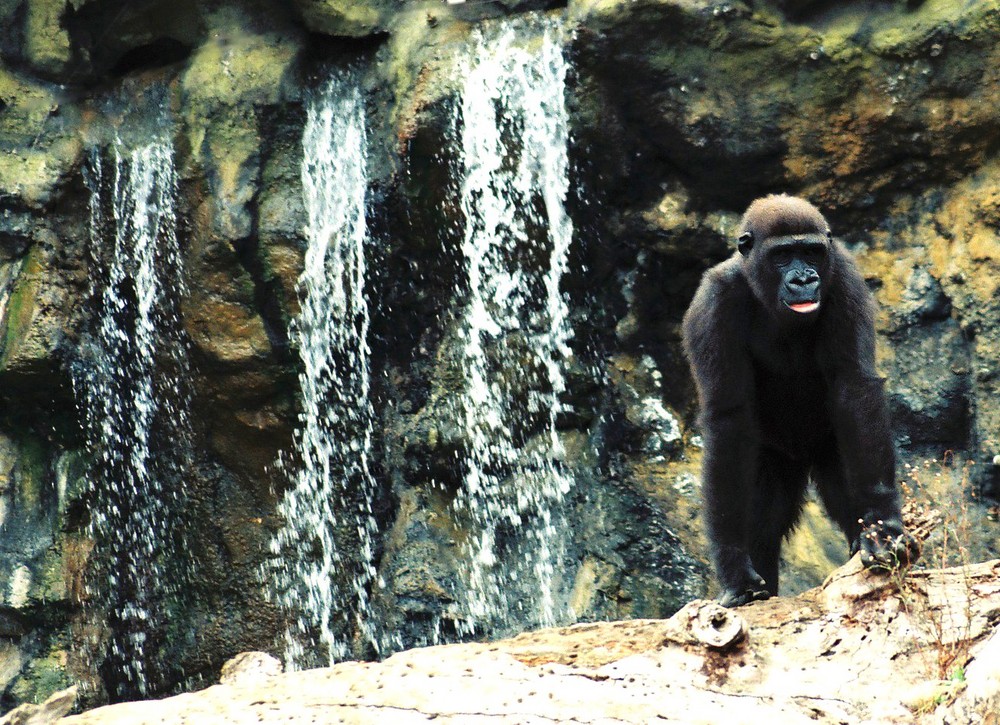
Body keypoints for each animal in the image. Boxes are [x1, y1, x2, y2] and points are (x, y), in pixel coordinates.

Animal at [684, 194, 916, 604]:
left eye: (810, 253)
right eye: (782, 256)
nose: (804, 279)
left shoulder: (843, 277)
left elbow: (854, 387)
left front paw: (881, 524)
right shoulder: (713, 303)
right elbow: (729, 419)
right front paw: (733, 564)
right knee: (763, 519)